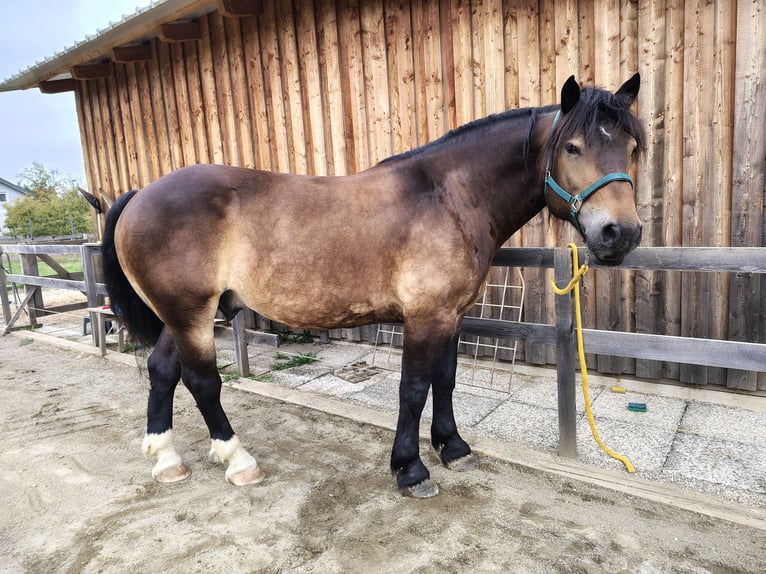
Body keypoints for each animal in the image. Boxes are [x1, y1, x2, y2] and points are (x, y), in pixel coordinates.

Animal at [102, 74, 645, 498]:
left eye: (632, 148)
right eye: (572, 147)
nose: (619, 233)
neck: (447, 195)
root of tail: (140, 195)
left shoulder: (451, 315)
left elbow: (445, 380)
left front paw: (452, 447)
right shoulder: (423, 317)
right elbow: (414, 389)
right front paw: (410, 469)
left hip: (183, 315)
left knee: (162, 371)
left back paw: (166, 458)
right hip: (192, 313)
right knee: (202, 382)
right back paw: (239, 462)